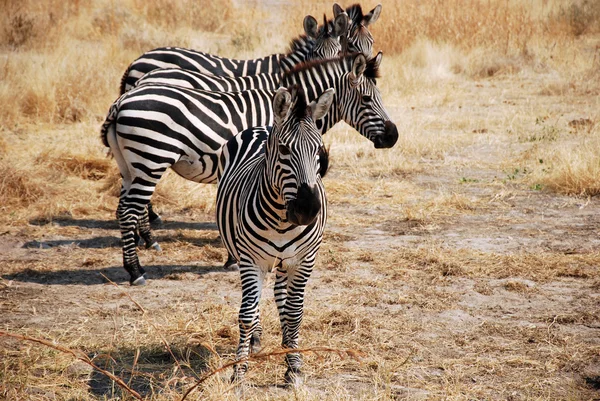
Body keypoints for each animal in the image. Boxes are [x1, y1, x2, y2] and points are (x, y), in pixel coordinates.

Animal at [100, 52, 396, 284]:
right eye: (367, 99)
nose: (393, 137)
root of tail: (123, 100)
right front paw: (234, 258)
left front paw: (232, 257)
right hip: (151, 157)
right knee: (129, 210)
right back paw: (135, 271)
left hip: (131, 164)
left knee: (126, 206)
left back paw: (145, 245)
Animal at [214, 86, 332, 386]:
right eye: (285, 149)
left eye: (319, 150)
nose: (308, 210)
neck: (281, 217)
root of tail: (261, 126)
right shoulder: (251, 260)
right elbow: (245, 313)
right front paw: (238, 371)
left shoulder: (303, 259)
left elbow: (294, 312)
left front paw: (294, 364)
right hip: (246, 254)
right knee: (254, 300)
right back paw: (255, 340)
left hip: (283, 261)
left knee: (280, 295)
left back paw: (286, 341)